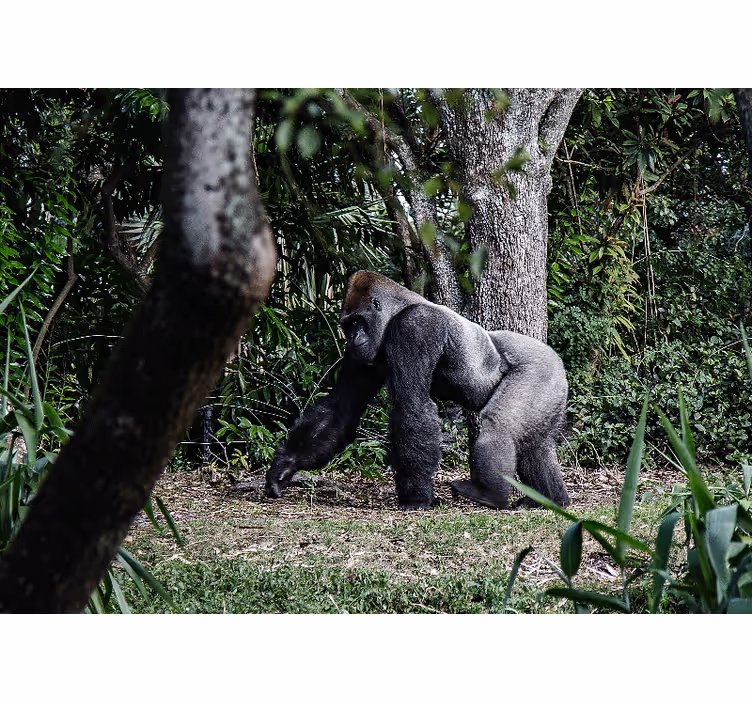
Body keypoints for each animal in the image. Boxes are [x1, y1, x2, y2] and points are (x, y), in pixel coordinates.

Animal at [265, 271, 570, 511]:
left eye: (358, 322)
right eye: (347, 325)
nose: (352, 338)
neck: (398, 309)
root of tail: (557, 360)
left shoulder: (414, 327)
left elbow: (411, 404)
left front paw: (417, 497)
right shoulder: (362, 355)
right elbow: (341, 409)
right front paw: (285, 465)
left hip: (541, 370)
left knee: (499, 425)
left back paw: (491, 494)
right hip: (551, 386)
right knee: (535, 444)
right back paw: (550, 499)